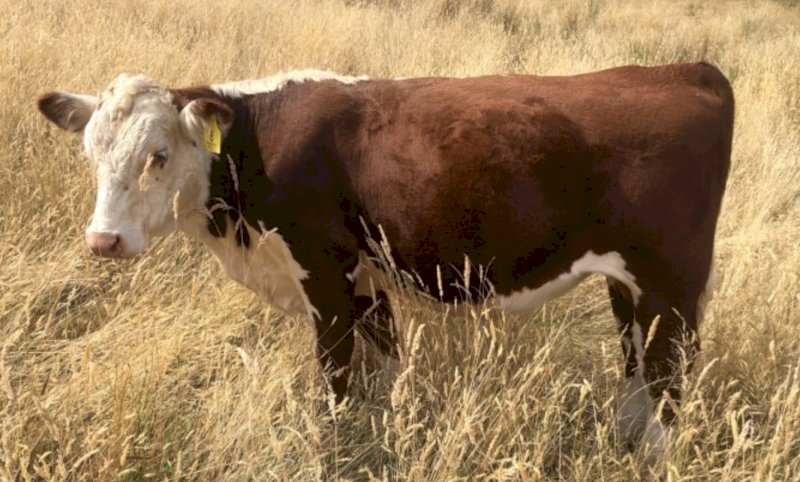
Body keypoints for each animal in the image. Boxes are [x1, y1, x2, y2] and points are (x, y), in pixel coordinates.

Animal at [37, 62, 734, 459]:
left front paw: (335, 448)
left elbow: (336, 385)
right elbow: (389, 370)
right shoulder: (368, 280)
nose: (103, 241)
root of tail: (686, 67)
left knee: (669, 383)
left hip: (670, 281)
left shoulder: (325, 276)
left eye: (156, 155)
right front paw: (394, 429)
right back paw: (627, 442)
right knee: (638, 365)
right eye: (91, 152)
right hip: (631, 286)